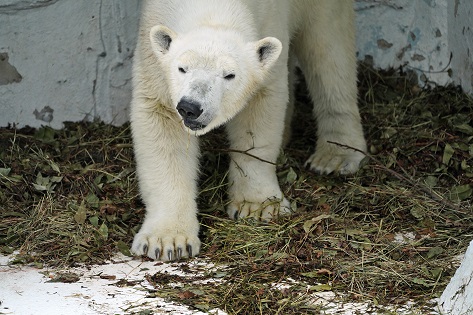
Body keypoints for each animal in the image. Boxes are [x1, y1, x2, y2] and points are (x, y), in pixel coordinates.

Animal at [128, 0, 366, 262]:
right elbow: (162, 122)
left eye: (229, 75)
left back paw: (336, 156)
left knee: (328, 50)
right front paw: (167, 241)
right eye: (182, 68)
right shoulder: (152, 50)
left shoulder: (270, 23)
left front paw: (258, 207)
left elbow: (259, 112)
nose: (190, 108)